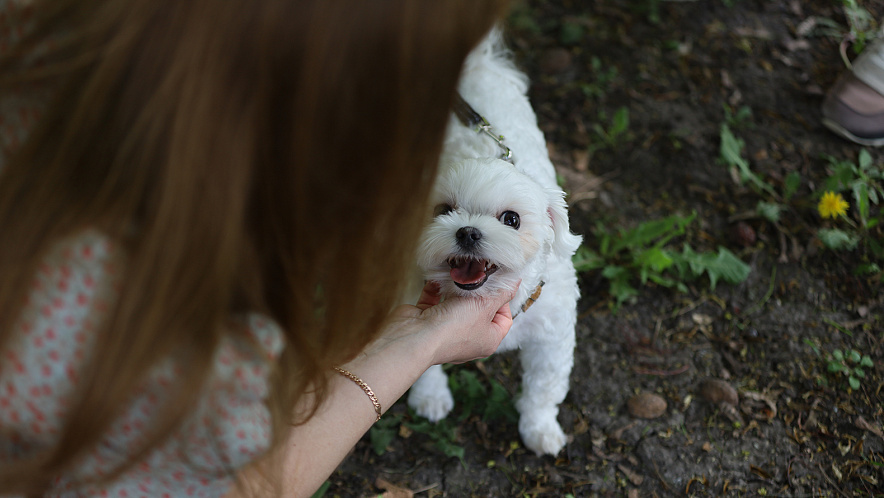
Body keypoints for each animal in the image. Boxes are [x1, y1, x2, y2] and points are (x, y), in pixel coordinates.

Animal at [410, 27, 588, 456]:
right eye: (443, 210)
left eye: (511, 219)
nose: (468, 231)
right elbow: (423, 362)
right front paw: (430, 396)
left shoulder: (552, 338)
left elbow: (543, 390)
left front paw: (540, 428)